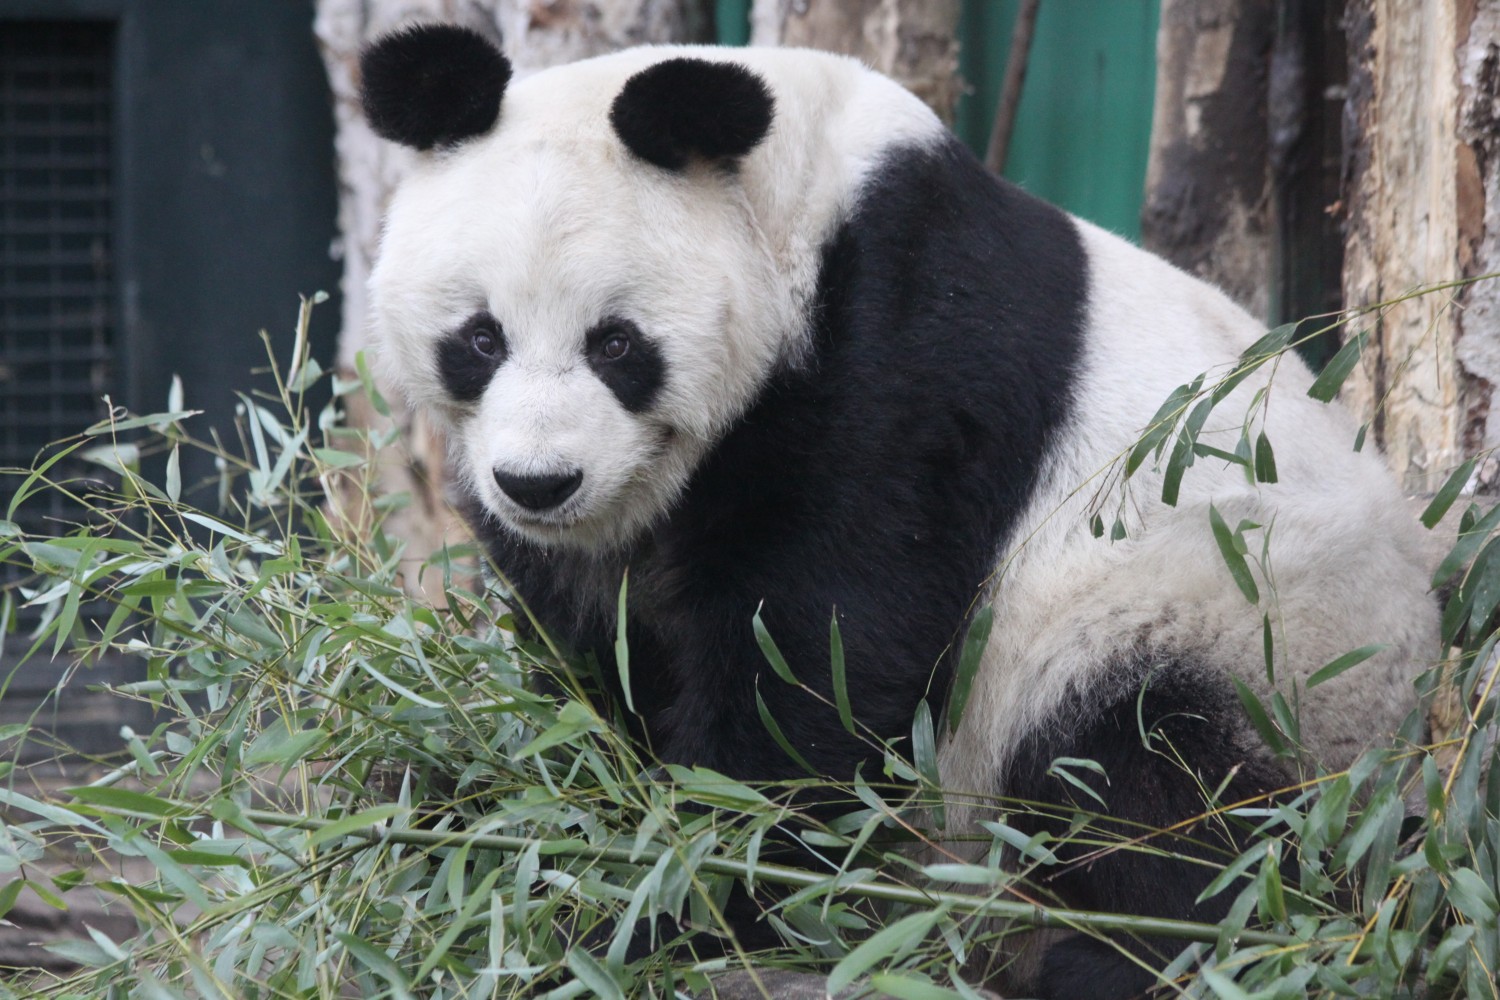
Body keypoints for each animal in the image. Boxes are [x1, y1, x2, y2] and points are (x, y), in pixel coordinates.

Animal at [357, 25, 1434, 1000]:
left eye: (616, 344)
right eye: (480, 339)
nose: (539, 482)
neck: (805, 204)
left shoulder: (899, 350)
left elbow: (824, 651)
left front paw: (685, 897)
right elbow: (593, 666)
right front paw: (538, 832)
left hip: (1249, 632)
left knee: (1154, 781)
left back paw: (1127, 955)